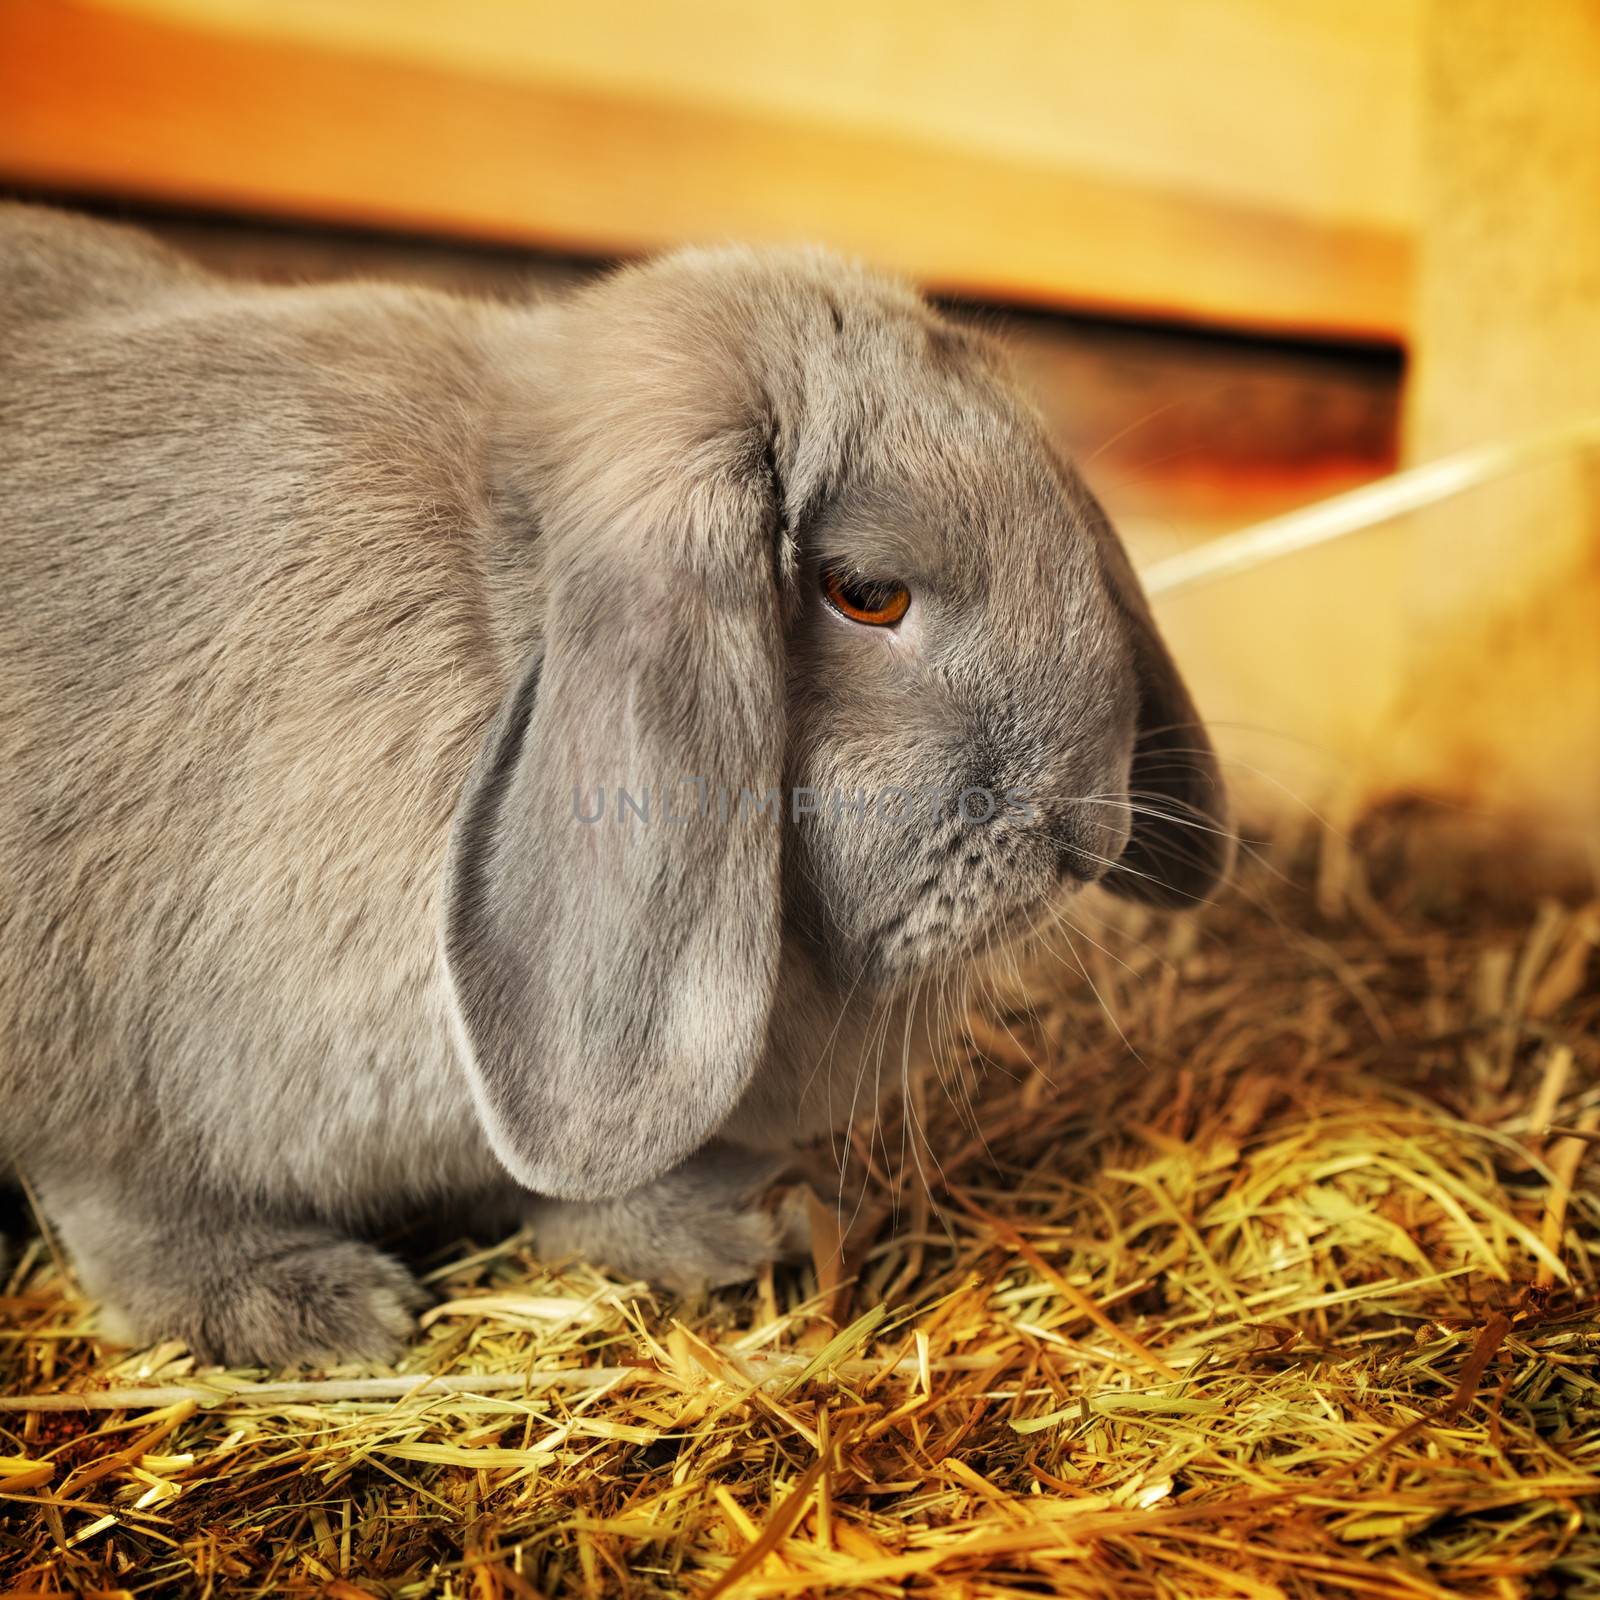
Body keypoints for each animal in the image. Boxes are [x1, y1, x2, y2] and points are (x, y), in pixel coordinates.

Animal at [0, 203, 1228, 1363]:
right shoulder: (105, 1068)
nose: (1087, 831)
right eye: (865, 592)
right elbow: (133, 1199)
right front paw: (308, 1311)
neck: (502, 618)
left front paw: (751, 1218)